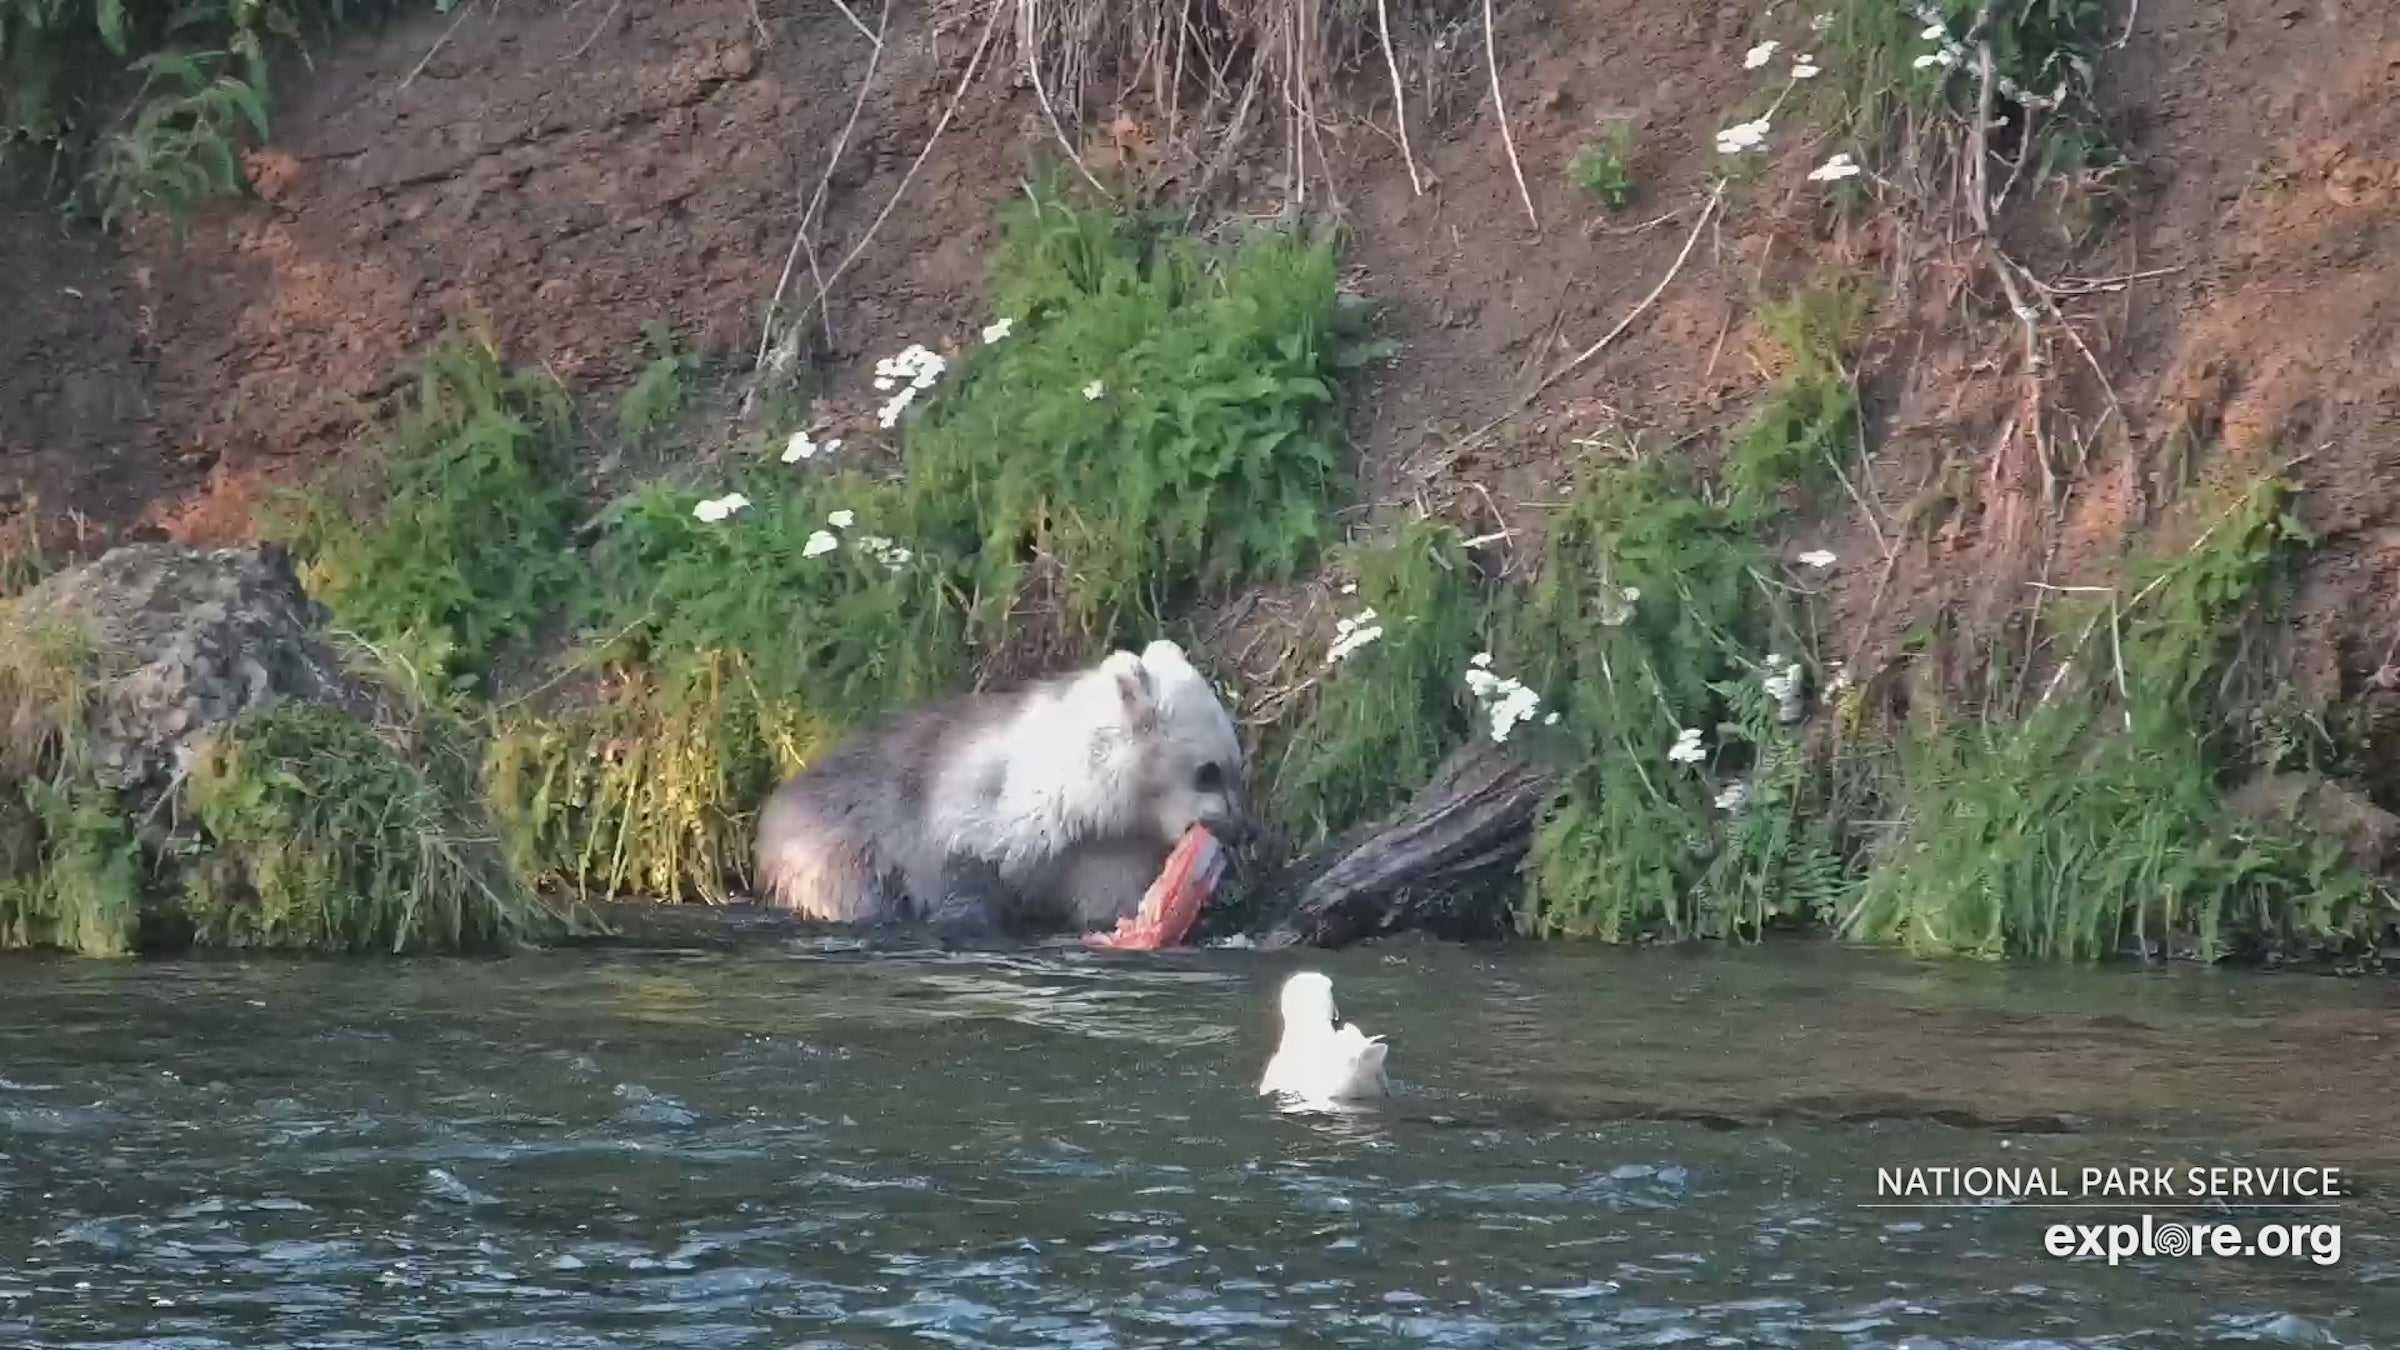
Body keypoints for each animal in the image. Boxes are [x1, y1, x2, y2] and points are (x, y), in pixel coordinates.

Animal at [751, 639, 1253, 935]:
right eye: (1208, 771)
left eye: (1236, 765)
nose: (1243, 830)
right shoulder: (970, 814)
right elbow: (962, 873)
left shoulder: (1108, 852)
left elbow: (1109, 898)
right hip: (836, 852)